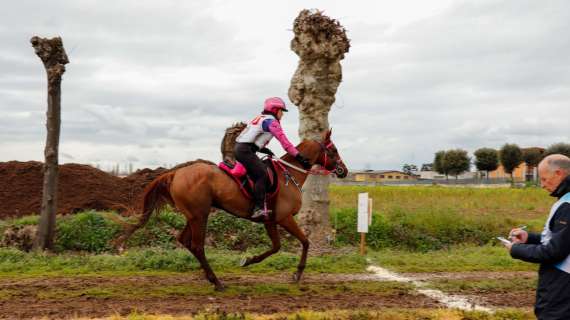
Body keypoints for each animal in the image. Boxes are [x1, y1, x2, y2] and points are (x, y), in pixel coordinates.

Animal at [115, 129, 346, 290]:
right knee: (197, 246)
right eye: (333, 149)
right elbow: (305, 242)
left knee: (185, 241)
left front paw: (248, 260)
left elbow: (276, 247)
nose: (344, 170)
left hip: (193, 216)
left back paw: (211, 278)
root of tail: (175, 173)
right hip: (200, 216)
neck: (289, 175)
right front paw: (297, 274)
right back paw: (217, 282)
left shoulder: (270, 220)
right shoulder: (284, 218)